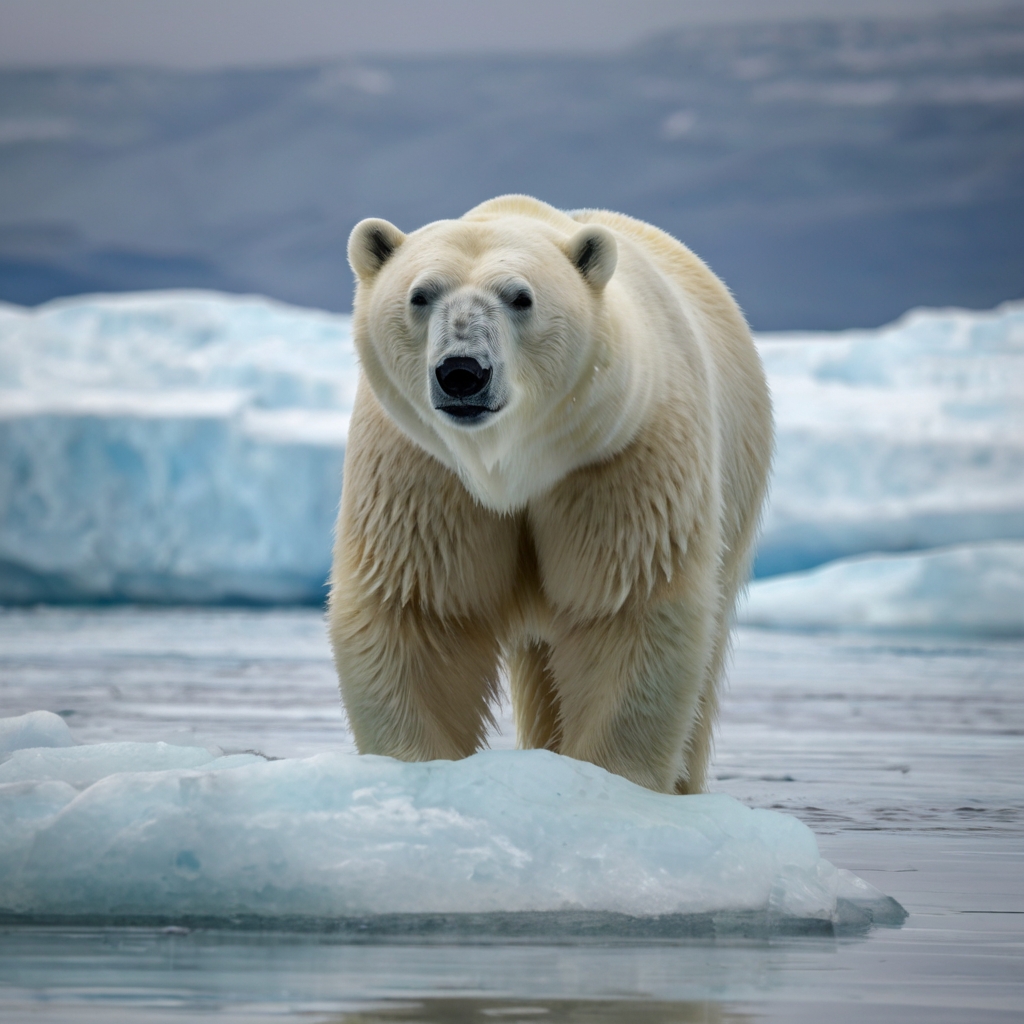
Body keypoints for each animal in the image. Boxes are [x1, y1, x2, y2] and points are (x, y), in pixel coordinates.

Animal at [331, 195, 770, 794]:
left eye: (521, 297)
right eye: (420, 295)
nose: (462, 372)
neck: (508, 464)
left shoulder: (616, 462)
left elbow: (625, 606)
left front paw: (611, 778)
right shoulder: (423, 471)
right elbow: (420, 607)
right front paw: (417, 767)